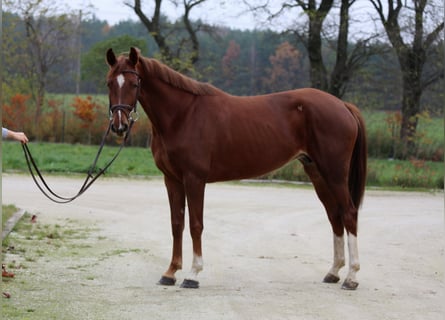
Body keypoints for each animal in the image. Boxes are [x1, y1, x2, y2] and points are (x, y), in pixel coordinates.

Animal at [106, 47, 366, 290]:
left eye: (134, 83)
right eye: (109, 83)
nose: (119, 126)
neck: (183, 115)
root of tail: (343, 105)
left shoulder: (194, 178)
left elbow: (196, 225)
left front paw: (193, 274)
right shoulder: (172, 179)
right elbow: (176, 223)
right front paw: (170, 273)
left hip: (334, 173)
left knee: (349, 213)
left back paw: (352, 277)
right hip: (317, 173)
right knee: (334, 215)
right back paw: (333, 272)